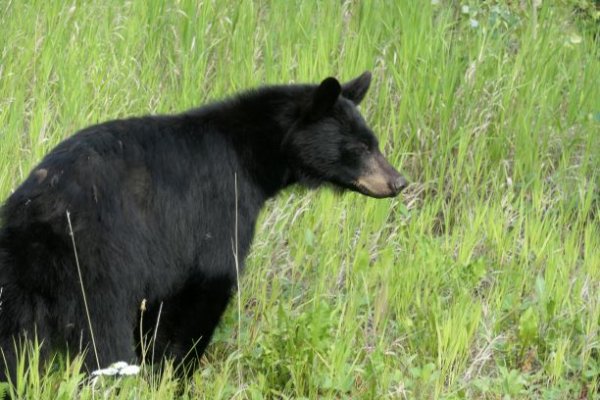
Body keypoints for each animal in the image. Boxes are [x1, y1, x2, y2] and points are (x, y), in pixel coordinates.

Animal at [0, 72, 408, 382]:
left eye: (374, 142)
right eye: (362, 147)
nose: (399, 182)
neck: (253, 157)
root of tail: (37, 212)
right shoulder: (219, 208)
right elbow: (209, 286)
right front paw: (176, 376)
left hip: (19, 277)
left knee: (13, 342)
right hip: (98, 266)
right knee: (104, 339)